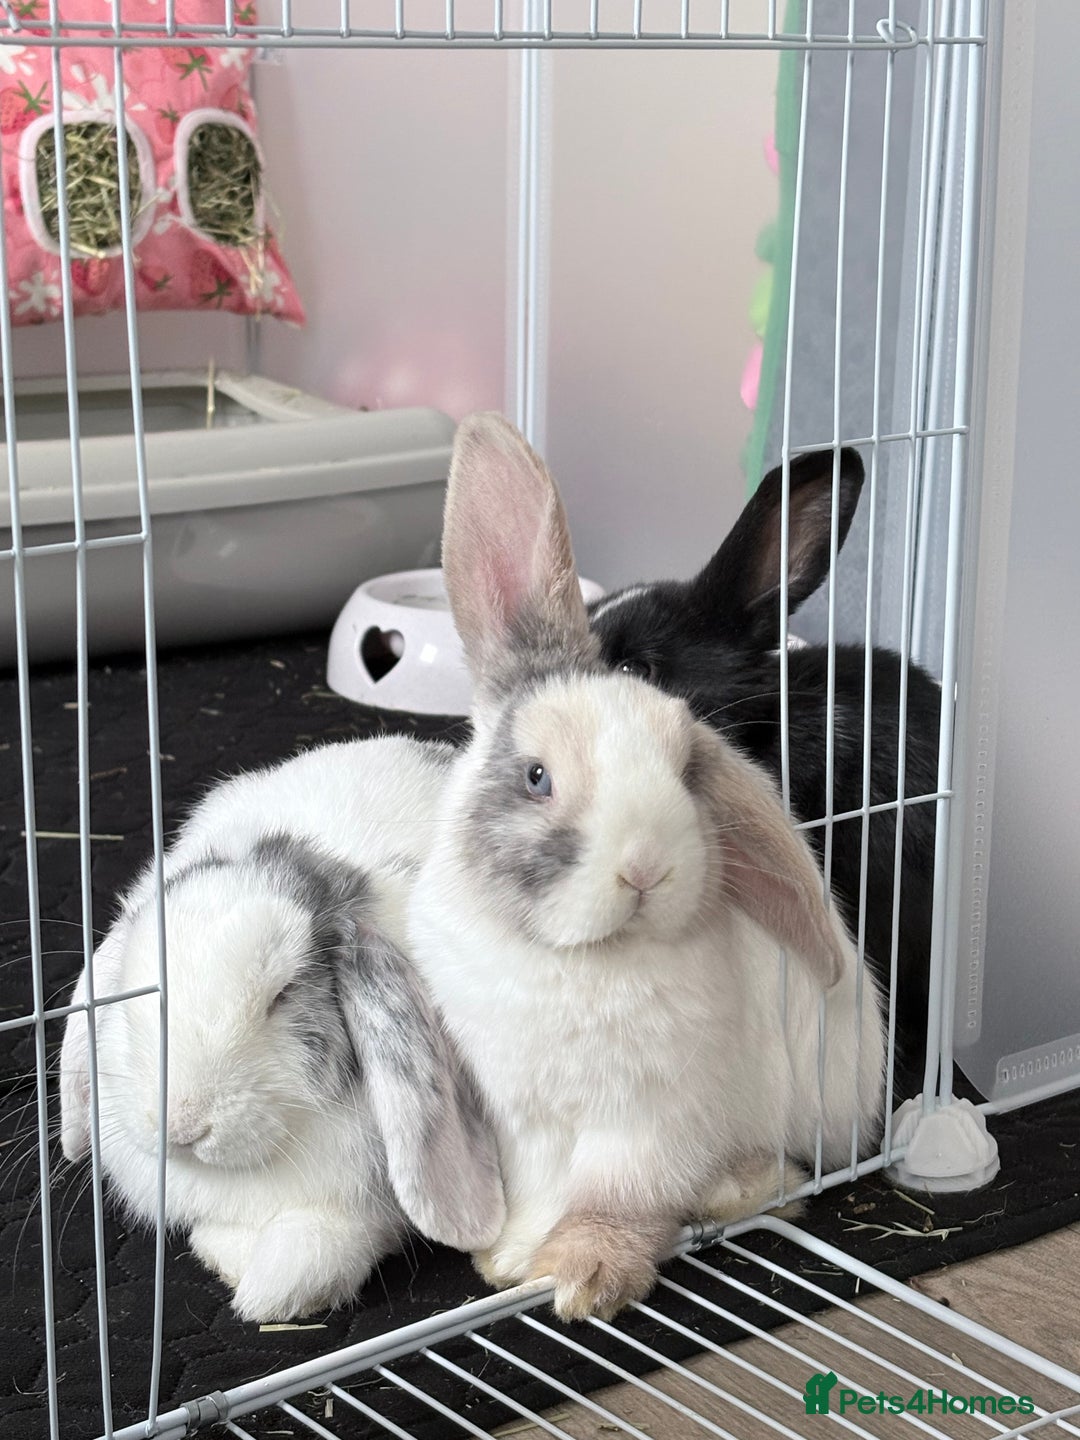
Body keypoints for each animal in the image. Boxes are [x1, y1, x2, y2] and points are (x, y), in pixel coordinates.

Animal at [58, 737, 504, 1323]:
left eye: (284, 993)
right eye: (138, 992)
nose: (181, 1128)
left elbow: (307, 1256)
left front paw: (260, 1294)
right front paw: (223, 1256)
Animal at [396, 413, 886, 1322]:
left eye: (687, 768)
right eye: (537, 776)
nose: (646, 869)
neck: (575, 956)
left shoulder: (650, 1123)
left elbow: (618, 1198)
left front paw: (583, 1278)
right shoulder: (522, 1119)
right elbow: (541, 1189)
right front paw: (509, 1259)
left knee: (778, 1176)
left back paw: (738, 1188)